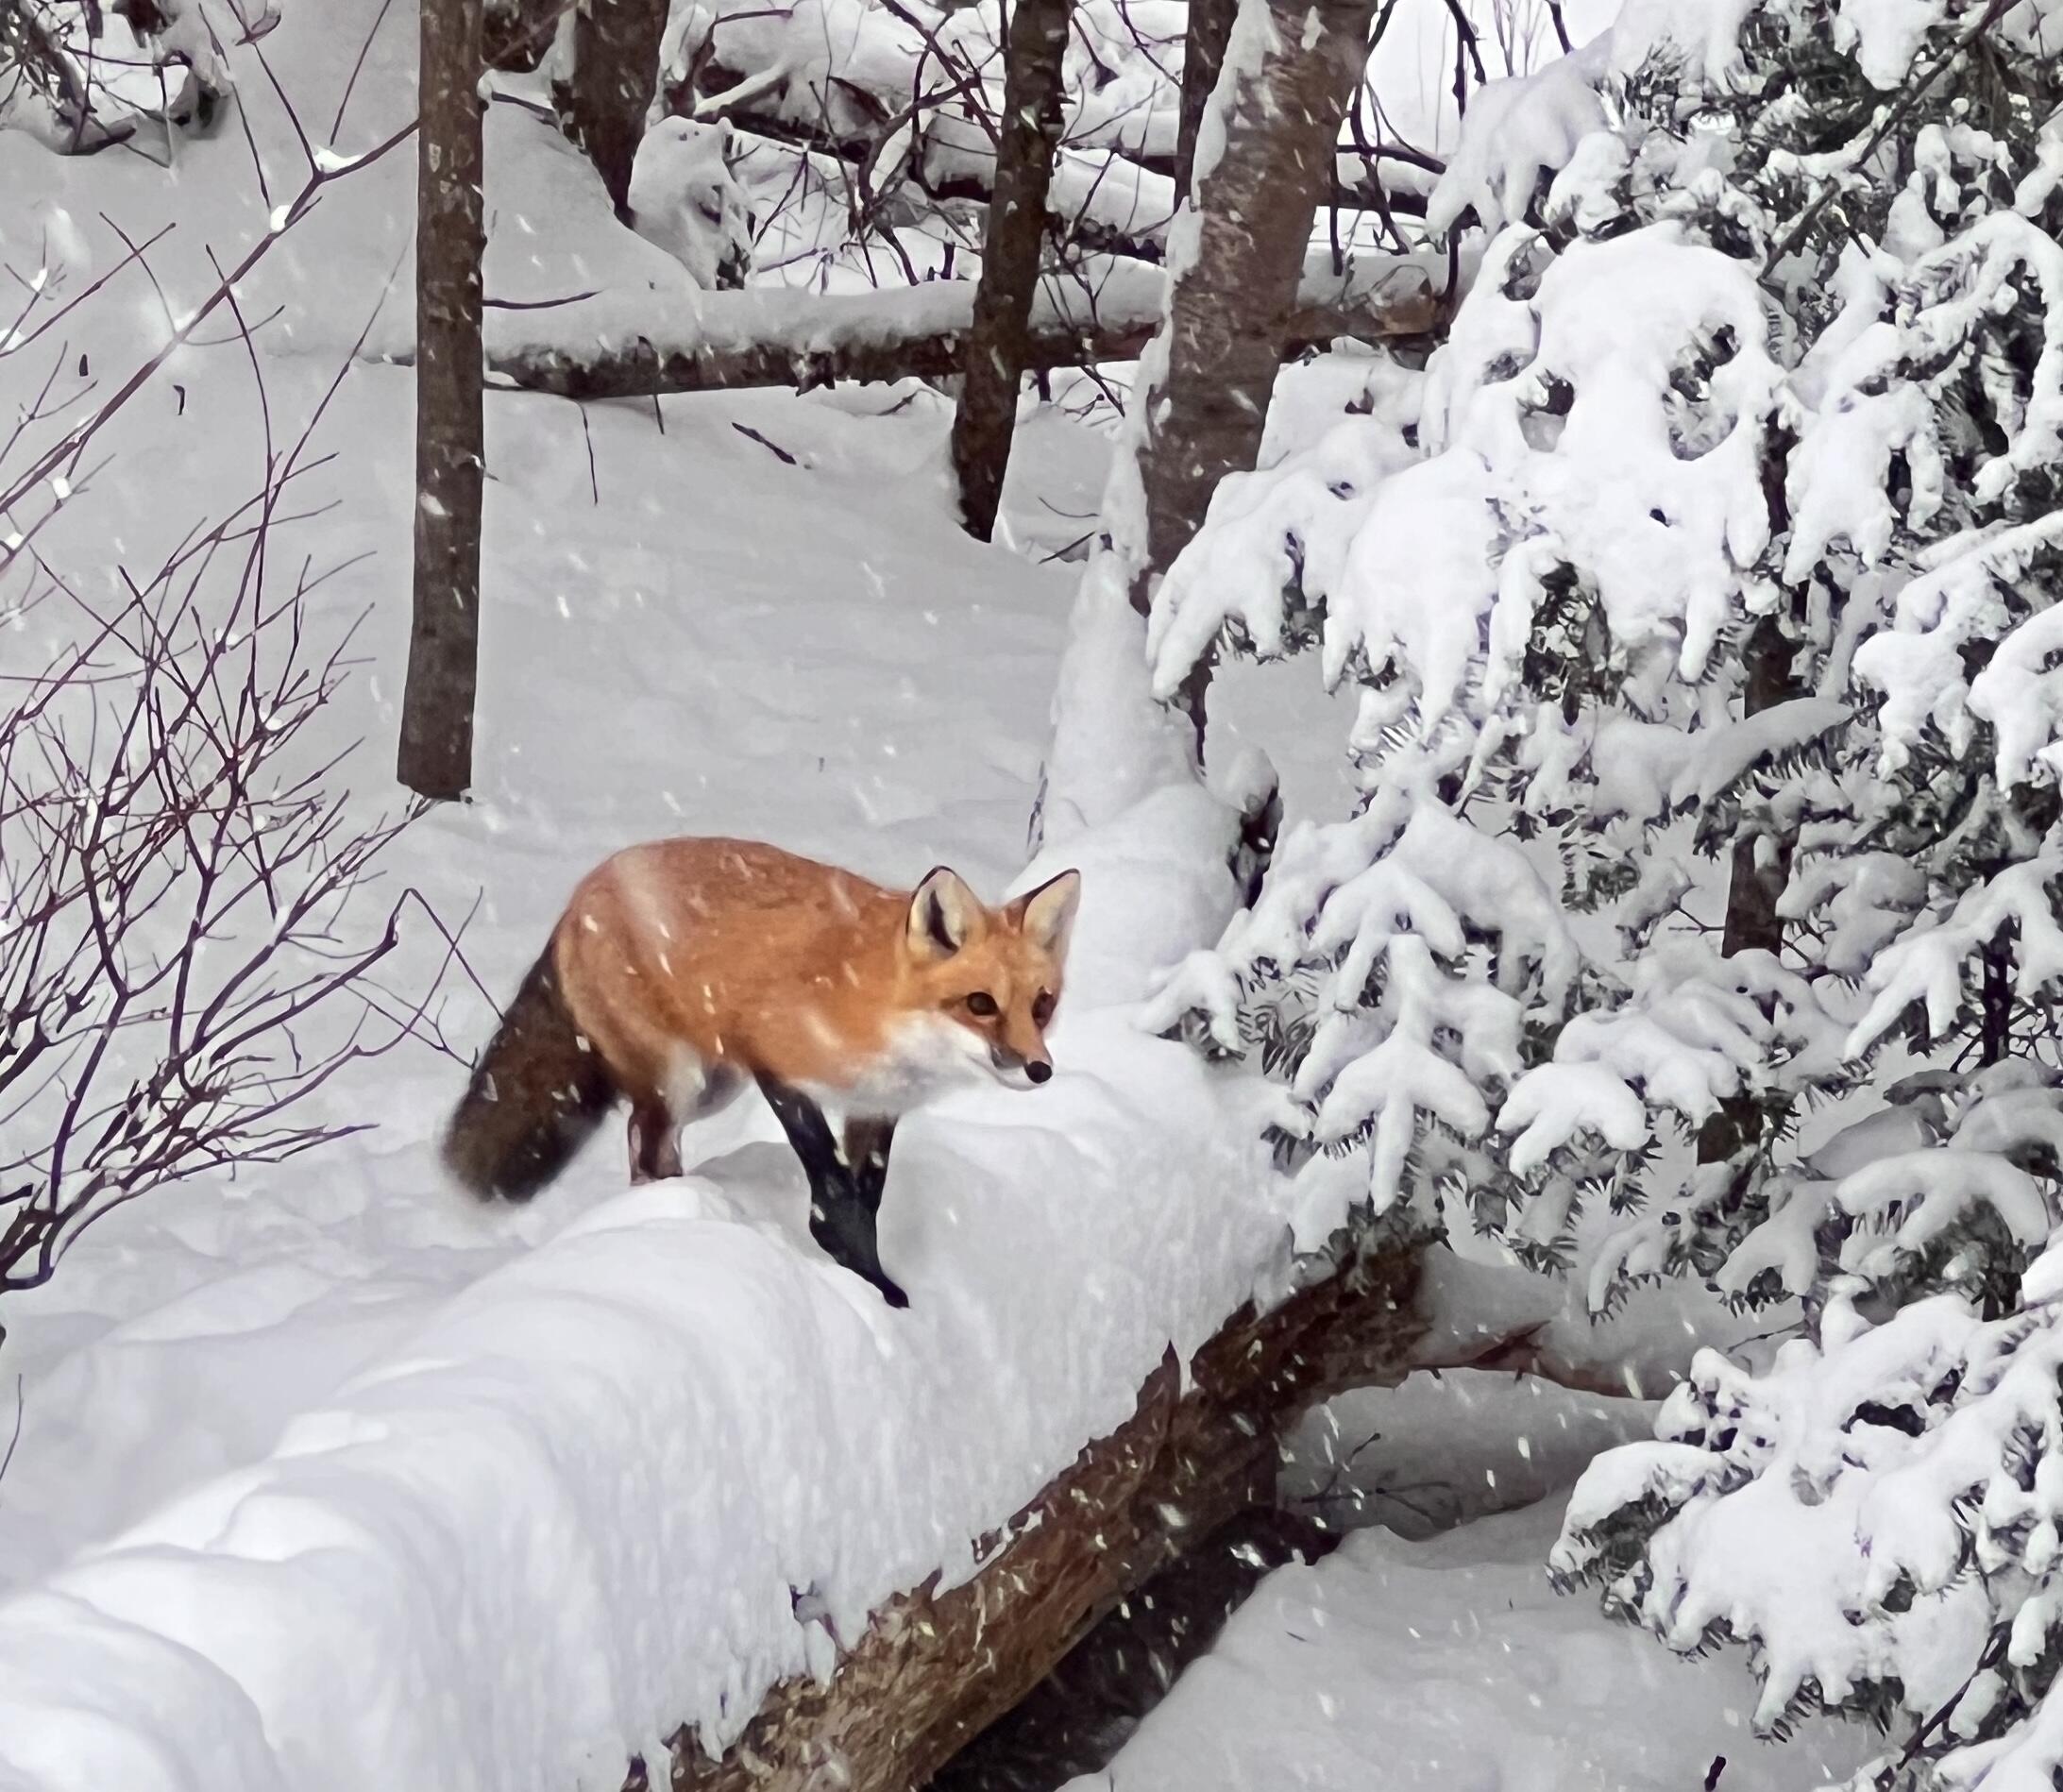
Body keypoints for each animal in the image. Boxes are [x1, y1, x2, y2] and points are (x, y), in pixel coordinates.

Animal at [442, 838, 1083, 1308]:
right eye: (980, 1004)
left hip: (712, 1089)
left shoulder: (875, 1104)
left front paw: (870, 1273)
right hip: (681, 1079)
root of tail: (581, 895)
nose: (1039, 1069)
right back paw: (673, 1212)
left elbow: (868, 1199)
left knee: (646, 1139)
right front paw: (862, 1277)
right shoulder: (776, 1063)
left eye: (1041, 1005)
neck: (873, 1005)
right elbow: (833, 1187)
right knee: (644, 1145)